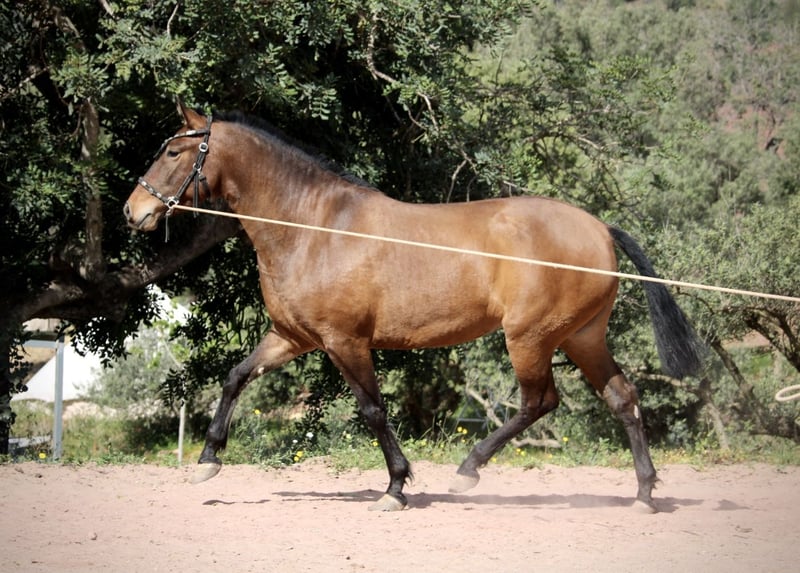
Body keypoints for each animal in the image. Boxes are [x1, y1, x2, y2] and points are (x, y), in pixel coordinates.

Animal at [124, 101, 705, 512]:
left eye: (173, 153)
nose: (134, 211)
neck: (314, 228)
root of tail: (599, 229)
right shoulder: (293, 336)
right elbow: (235, 377)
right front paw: (208, 460)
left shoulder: (345, 342)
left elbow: (373, 410)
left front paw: (396, 487)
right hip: (582, 336)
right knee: (623, 398)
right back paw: (644, 494)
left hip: (531, 337)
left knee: (539, 402)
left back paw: (469, 469)